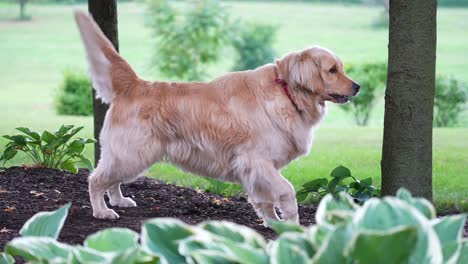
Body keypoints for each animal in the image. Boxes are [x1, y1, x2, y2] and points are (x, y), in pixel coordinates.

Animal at [74, 10, 358, 225]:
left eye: (340, 68)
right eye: (332, 70)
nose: (358, 86)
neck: (287, 91)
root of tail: (134, 85)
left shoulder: (255, 170)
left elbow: (264, 200)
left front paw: (274, 224)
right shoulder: (256, 161)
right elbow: (287, 191)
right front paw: (291, 223)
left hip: (132, 155)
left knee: (111, 179)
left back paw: (119, 200)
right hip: (132, 153)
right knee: (96, 179)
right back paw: (102, 211)